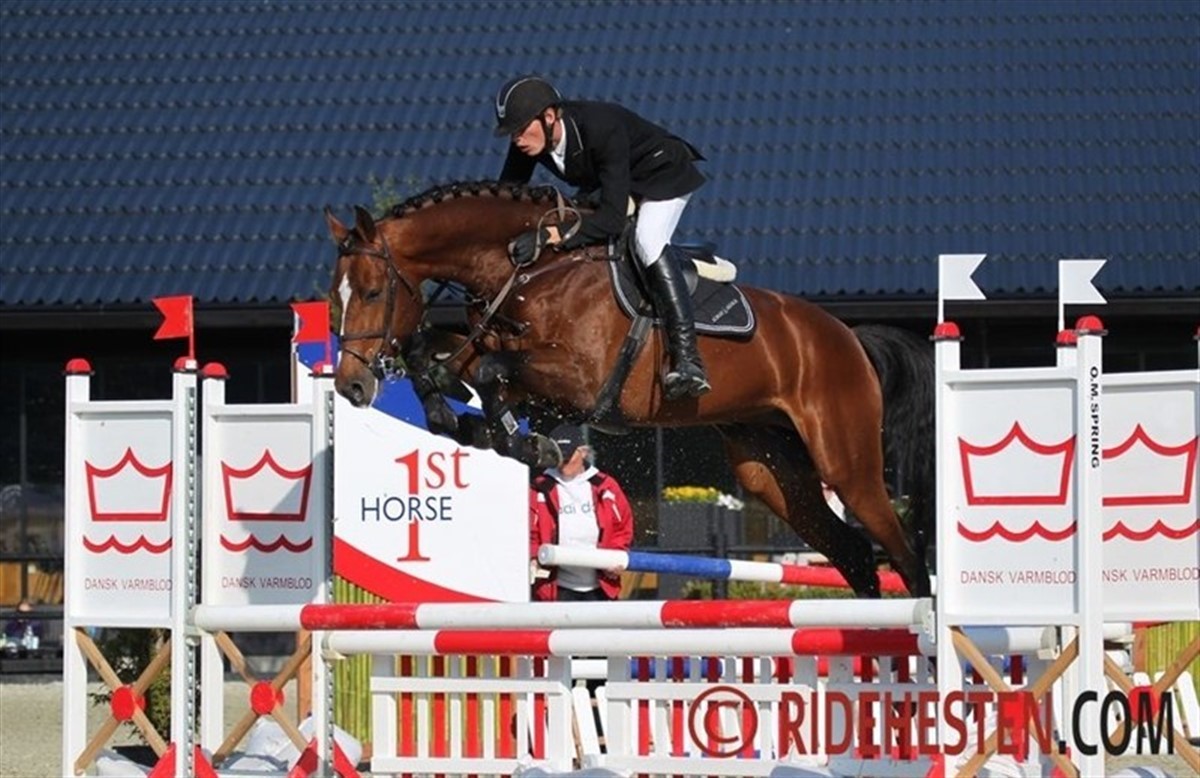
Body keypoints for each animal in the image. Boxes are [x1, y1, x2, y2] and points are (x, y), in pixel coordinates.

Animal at [325, 181, 934, 599]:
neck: (528, 266)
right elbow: (437, 358)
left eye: (374, 291)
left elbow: (493, 373)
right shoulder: (502, 351)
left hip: (844, 460)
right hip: (770, 470)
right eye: (336, 295)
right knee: (854, 553)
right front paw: (467, 422)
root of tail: (849, 337)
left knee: (904, 553)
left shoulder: (579, 377)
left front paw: (521, 439)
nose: (352, 385)